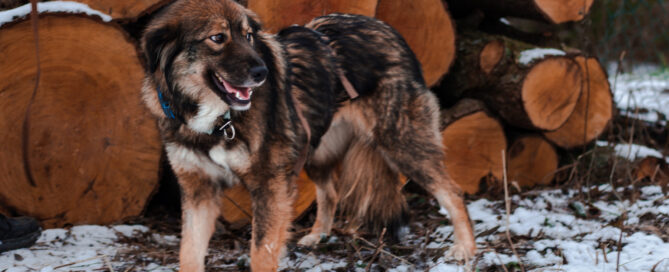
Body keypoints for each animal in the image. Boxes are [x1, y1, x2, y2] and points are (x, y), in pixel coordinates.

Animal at [140, 0, 474, 270]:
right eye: (217, 38)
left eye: (248, 36)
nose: (263, 73)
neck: (217, 120)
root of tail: (386, 28)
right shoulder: (199, 191)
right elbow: (189, 253)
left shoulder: (269, 187)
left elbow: (262, 252)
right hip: (314, 147)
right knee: (331, 192)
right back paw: (318, 235)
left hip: (402, 143)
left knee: (452, 191)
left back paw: (466, 249)